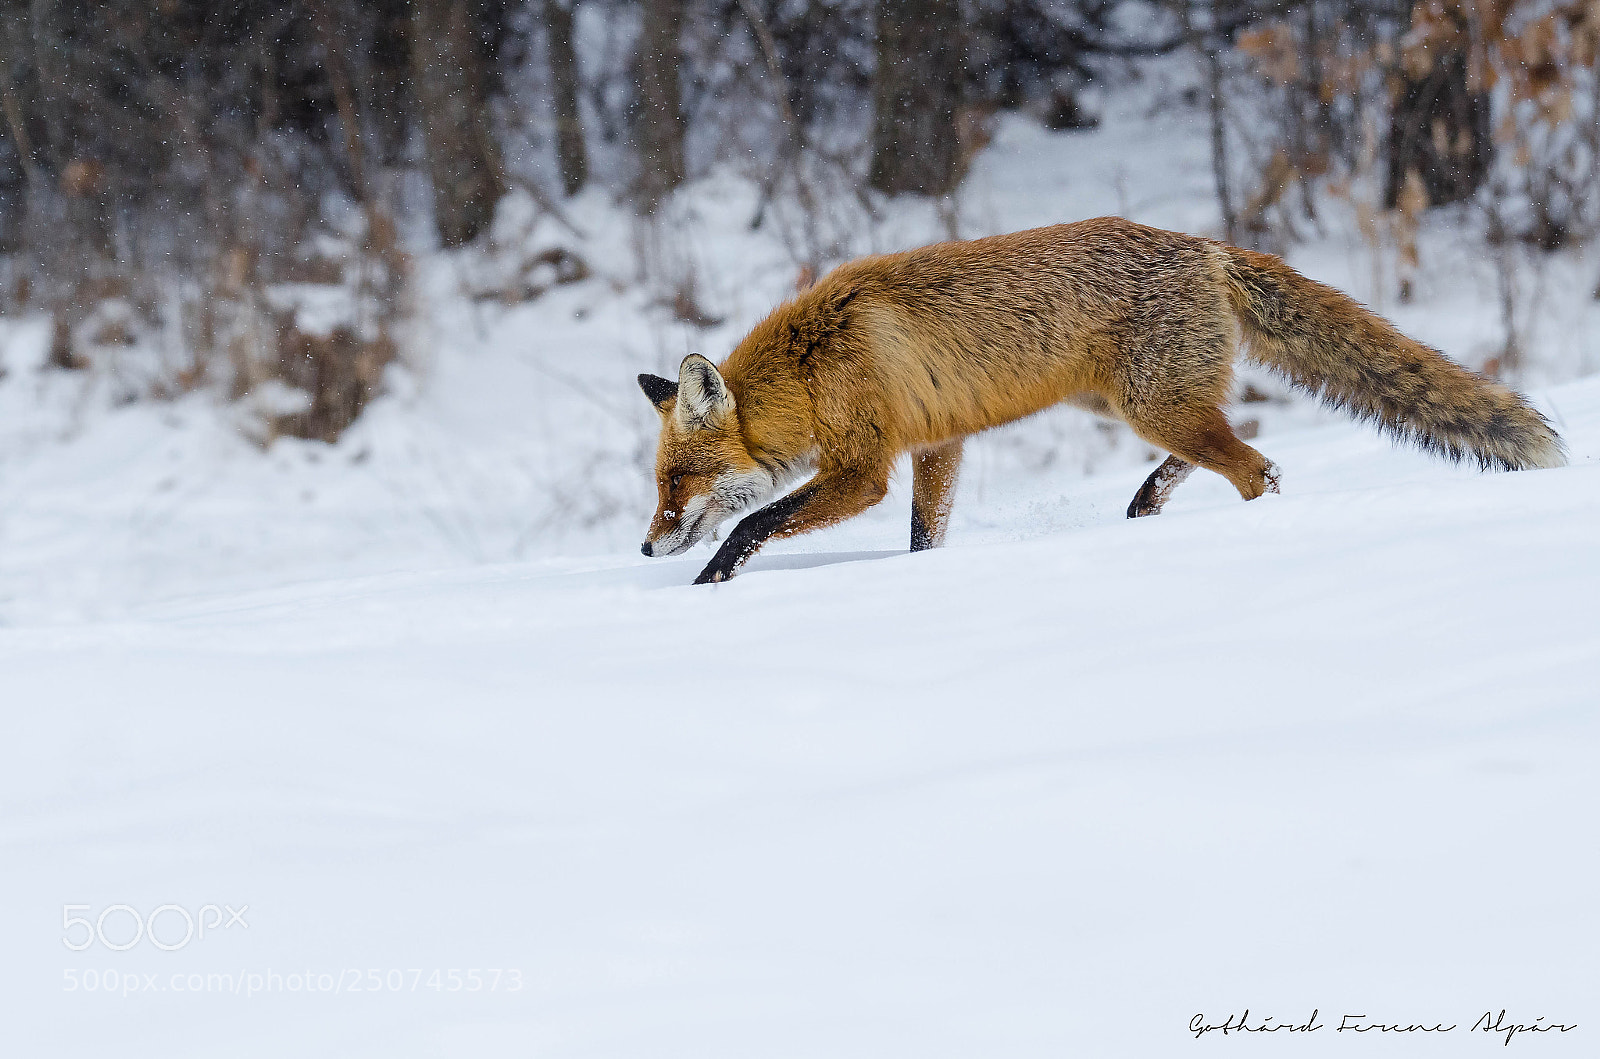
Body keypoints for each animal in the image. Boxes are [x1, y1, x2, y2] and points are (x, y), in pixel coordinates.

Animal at [637, 217, 1565, 584]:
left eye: (677, 481)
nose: (645, 548)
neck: (810, 365)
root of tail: (1205, 245)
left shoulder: (865, 467)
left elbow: (755, 524)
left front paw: (709, 586)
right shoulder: (938, 446)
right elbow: (923, 540)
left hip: (1152, 405)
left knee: (1257, 468)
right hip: (1138, 406)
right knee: (1224, 450)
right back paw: (1146, 504)